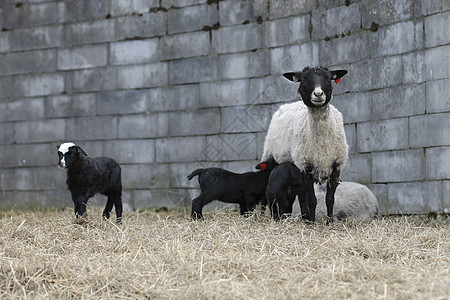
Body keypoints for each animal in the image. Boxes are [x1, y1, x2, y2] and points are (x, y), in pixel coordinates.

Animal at [262, 67, 350, 224]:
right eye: (303, 80)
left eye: (329, 78)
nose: (318, 94)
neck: (321, 142)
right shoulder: (305, 166)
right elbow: (312, 201)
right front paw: (313, 223)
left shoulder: (336, 165)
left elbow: (330, 199)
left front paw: (329, 222)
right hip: (274, 160)